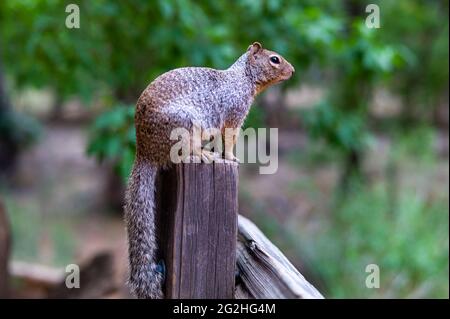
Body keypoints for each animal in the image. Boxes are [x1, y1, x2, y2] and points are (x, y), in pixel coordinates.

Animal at [124, 42, 296, 300]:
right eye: (274, 59)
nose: (292, 70)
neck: (242, 78)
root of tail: (146, 151)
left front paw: (222, 153)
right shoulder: (234, 115)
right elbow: (230, 140)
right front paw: (232, 158)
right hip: (185, 127)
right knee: (185, 153)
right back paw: (203, 154)